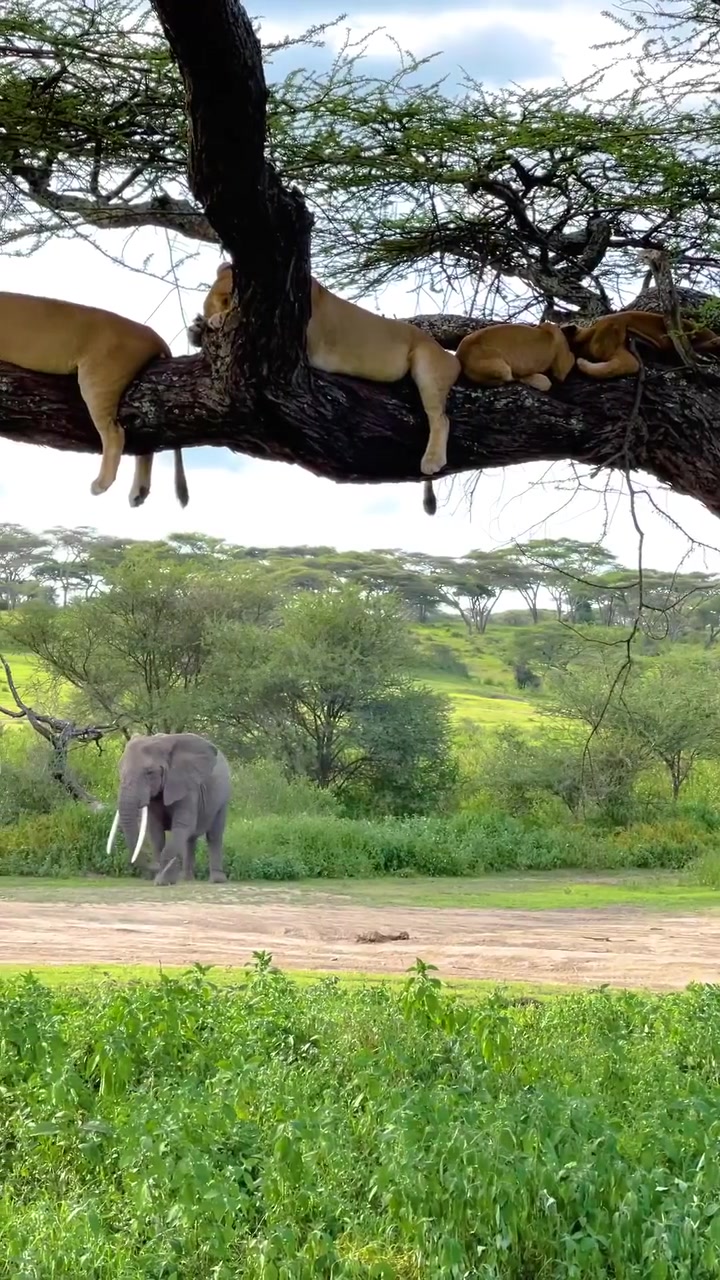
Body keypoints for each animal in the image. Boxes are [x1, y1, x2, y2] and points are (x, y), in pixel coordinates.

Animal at [0, 291, 188, 508]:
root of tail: (153, 334)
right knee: (145, 443)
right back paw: (138, 492)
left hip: (96, 379)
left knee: (114, 434)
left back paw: (101, 483)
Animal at [193, 264, 461, 504]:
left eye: (222, 300)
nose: (207, 316)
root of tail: (452, 357)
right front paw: (196, 329)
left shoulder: (304, 340)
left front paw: (214, 320)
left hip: (427, 364)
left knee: (440, 418)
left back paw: (432, 460)